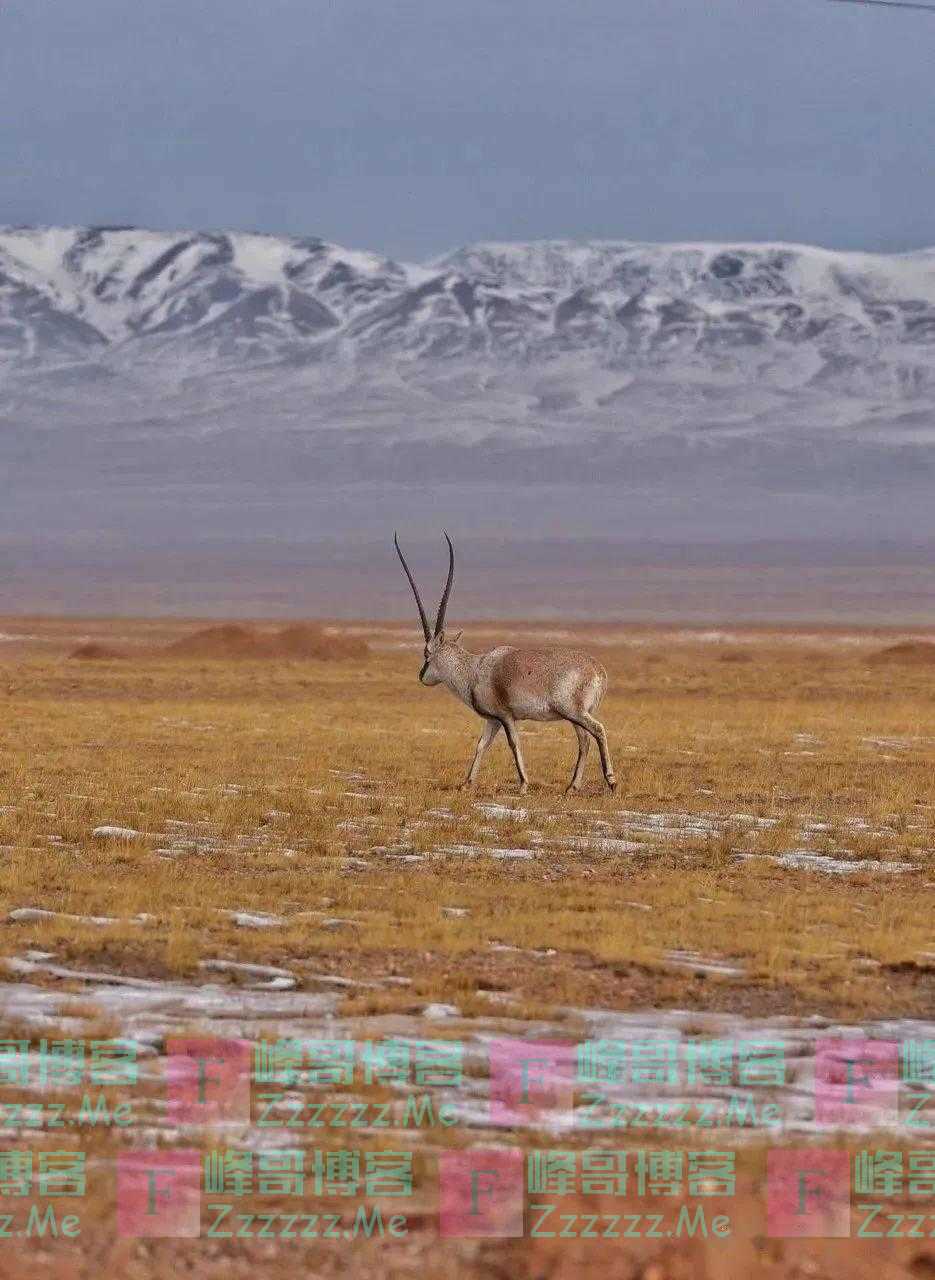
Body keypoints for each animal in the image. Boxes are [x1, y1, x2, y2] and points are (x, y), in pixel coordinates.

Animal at [391, 527, 614, 788]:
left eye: (427, 652)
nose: (421, 676)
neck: (474, 669)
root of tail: (598, 670)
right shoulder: (493, 720)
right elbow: (481, 745)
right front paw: (467, 783)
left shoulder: (506, 716)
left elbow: (513, 743)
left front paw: (524, 784)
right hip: (575, 716)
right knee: (584, 740)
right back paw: (572, 787)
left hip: (574, 712)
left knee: (598, 731)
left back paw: (611, 780)